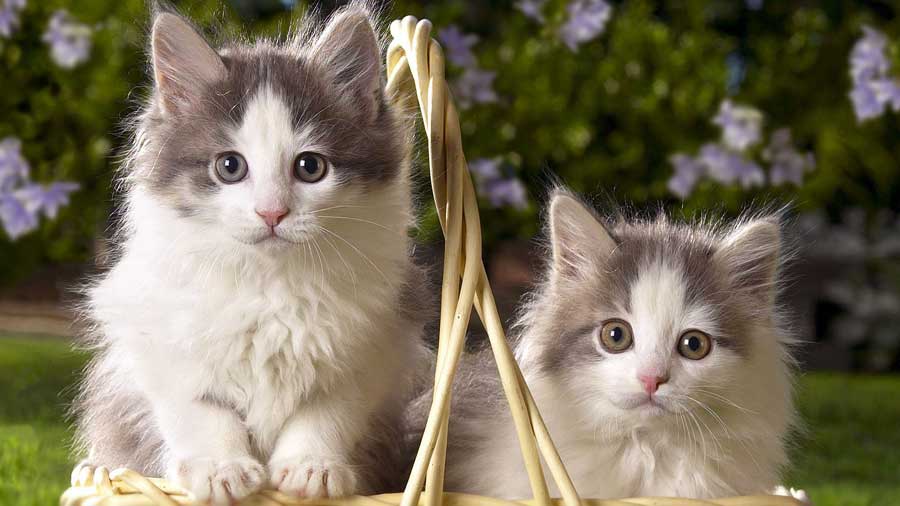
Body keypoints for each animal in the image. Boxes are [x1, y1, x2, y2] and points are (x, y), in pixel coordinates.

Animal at [70, 2, 428, 502]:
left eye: (310, 167)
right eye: (229, 166)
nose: (271, 212)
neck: (270, 284)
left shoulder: (373, 347)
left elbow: (326, 413)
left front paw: (311, 468)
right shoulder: (157, 343)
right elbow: (200, 410)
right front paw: (221, 468)